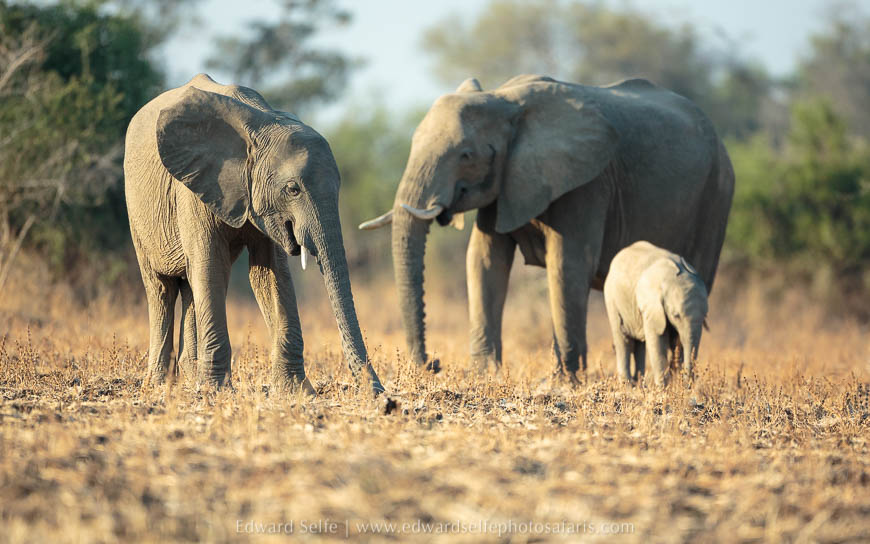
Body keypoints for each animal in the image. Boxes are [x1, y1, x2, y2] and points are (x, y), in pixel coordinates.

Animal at [124, 73, 383, 394]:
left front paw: (296, 391)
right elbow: (211, 267)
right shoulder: (193, 188)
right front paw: (217, 392)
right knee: (161, 288)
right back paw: (160, 385)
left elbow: (270, 274)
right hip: (137, 212)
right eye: (293, 189)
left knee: (190, 286)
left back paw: (189, 377)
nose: (378, 392)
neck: (261, 124)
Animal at [603, 241, 708, 385]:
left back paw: (640, 384)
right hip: (612, 297)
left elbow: (677, 343)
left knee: (639, 344)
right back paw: (628, 385)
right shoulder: (653, 308)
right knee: (623, 339)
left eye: (705, 316)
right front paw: (664, 388)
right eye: (676, 315)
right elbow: (658, 342)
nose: (688, 385)